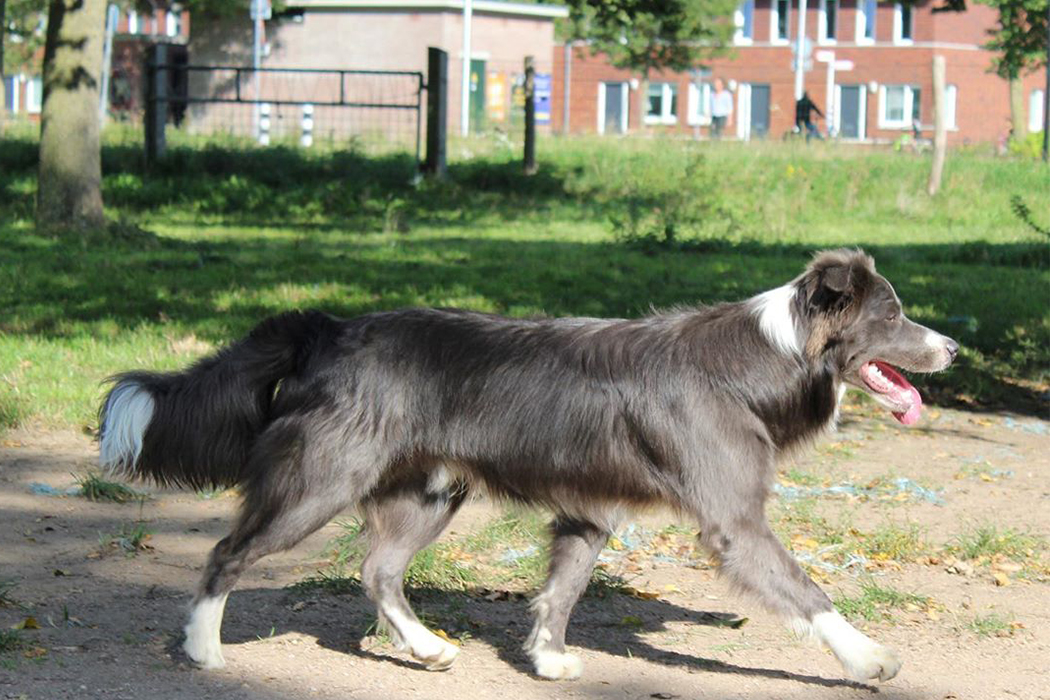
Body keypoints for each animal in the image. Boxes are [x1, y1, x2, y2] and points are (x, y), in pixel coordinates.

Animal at [100, 250, 961, 684]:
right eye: (892, 315)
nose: (952, 348)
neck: (766, 358)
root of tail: (328, 326)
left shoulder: (589, 512)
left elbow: (562, 588)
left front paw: (544, 657)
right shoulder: (735, 522)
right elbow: (808, 591)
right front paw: (869, 658)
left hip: (430, 491)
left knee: (378, 569)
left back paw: (426, 648)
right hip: (320, 479)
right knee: (228, 552)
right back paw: (204, 649)